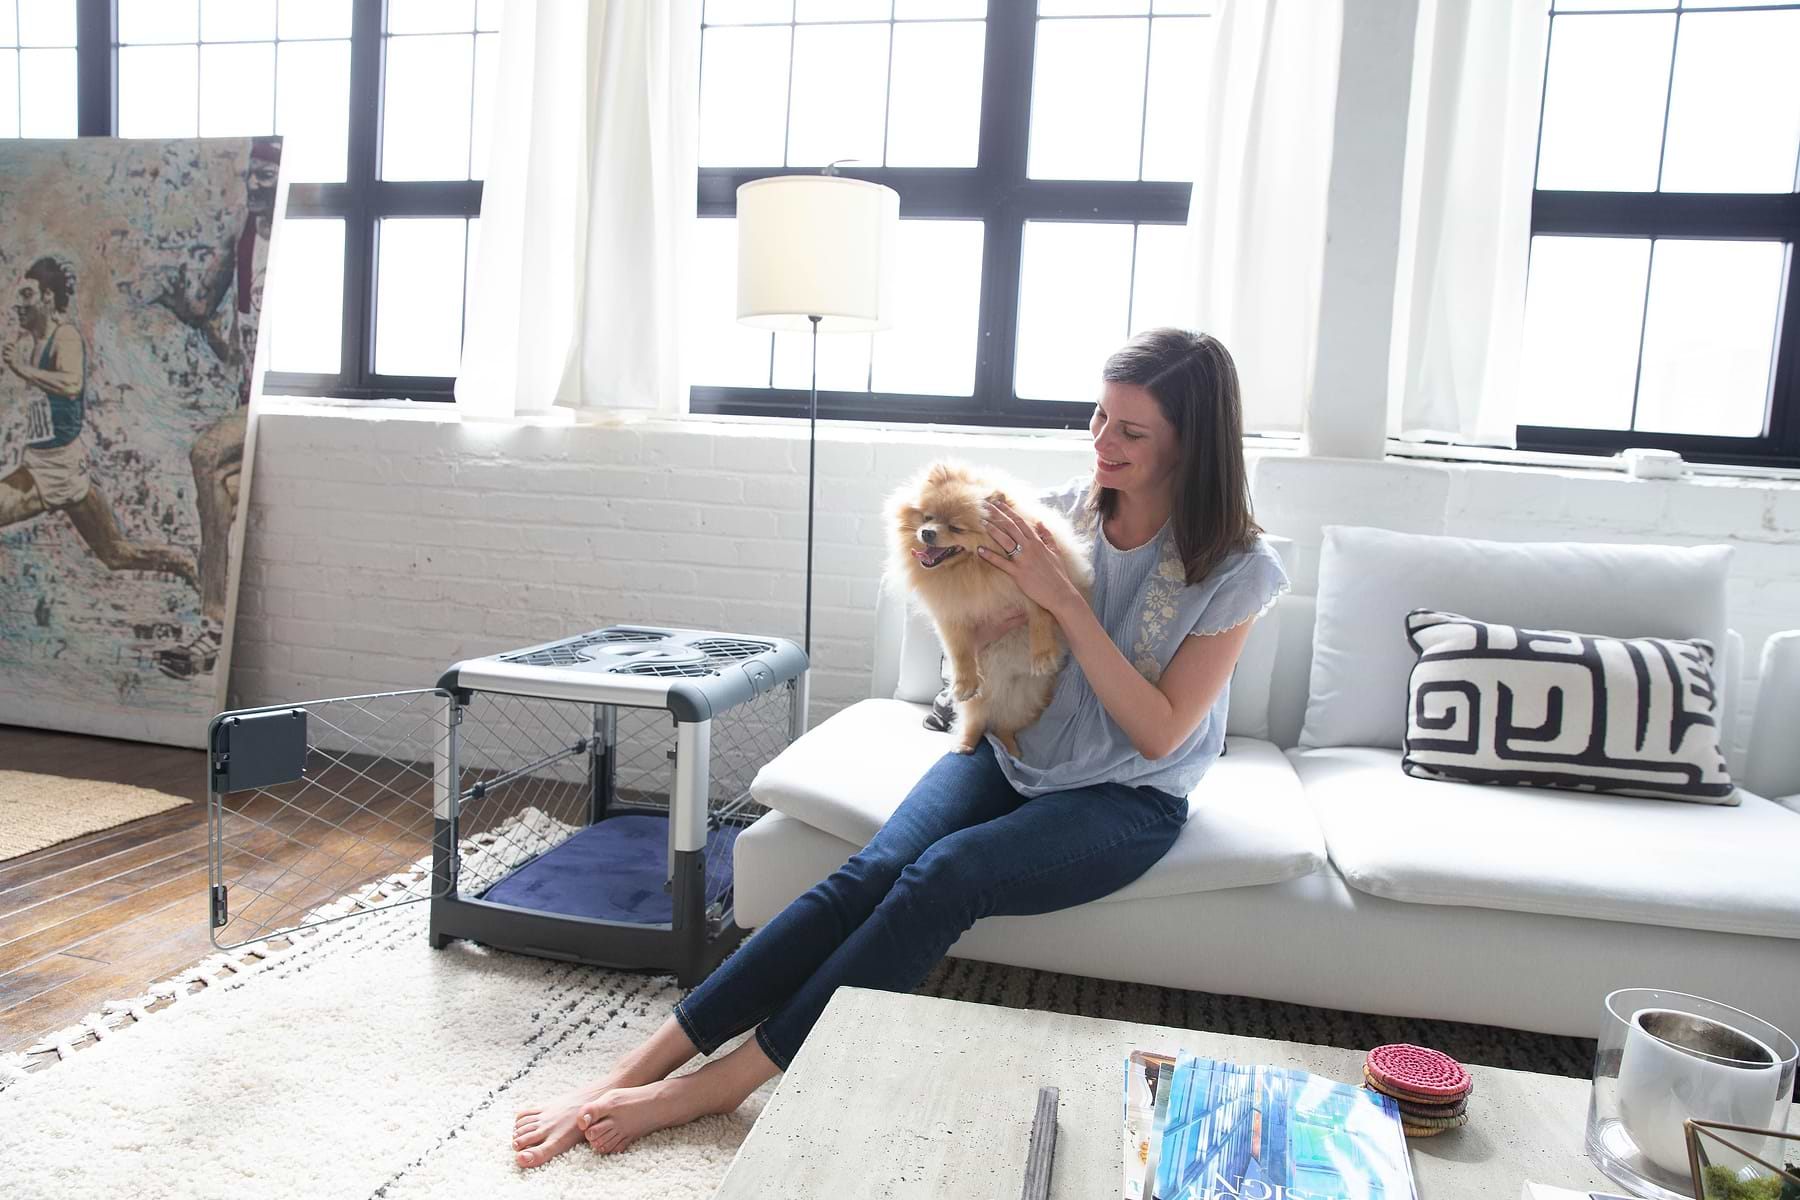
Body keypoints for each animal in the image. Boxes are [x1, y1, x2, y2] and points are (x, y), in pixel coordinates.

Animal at [885, 464, 1094, 755]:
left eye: (956, 528)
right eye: (927, 517)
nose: (927, 532)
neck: (973, 570)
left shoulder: (1039, 584)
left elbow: (1041, 615)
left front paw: (1042, 655)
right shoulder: (951, 615)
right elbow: (960, 649)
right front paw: (964, 681)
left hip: (1026, 701)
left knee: (1004, 727)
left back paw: (1011, 749)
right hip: (980, 702)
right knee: (976, 723)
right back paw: (965, 744)